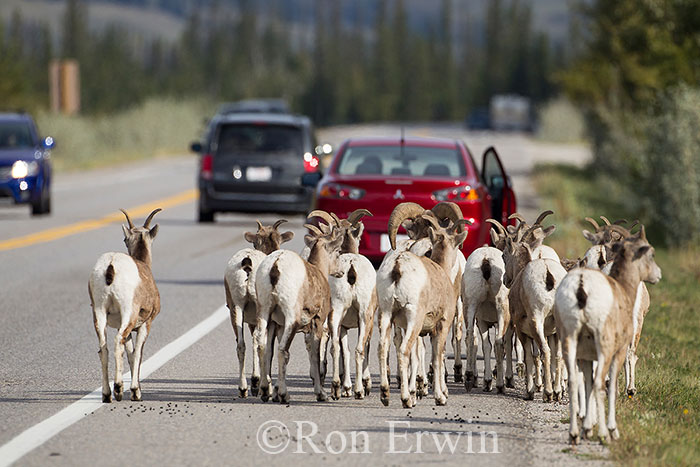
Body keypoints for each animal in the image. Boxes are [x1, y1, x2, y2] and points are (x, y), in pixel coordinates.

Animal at [226, 219, 294, 398]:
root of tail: (247, 263)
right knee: (259, 341)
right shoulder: (275, 323)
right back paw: (260, 385)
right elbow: (270, 347)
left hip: (236, 307)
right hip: (260, 308)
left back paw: (243, 389)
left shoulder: (249, 320)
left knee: (241, 344)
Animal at [256, 216, 346, 402]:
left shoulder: (277, 324)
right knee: (283, 351)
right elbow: (315, 354)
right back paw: (285, 395)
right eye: (338, 251)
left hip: (264, 312)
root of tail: (275, 266)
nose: (341, 272)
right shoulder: (317, 321)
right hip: (292, 318)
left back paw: (265, 391)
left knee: (262, 346)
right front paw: (321, 394)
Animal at [556, 225, 660, 444]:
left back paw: (575, 431)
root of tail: (582, 288)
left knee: (575, 380)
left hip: (571, 341)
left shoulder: (586, 355)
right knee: (626, 360)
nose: (658, 275)